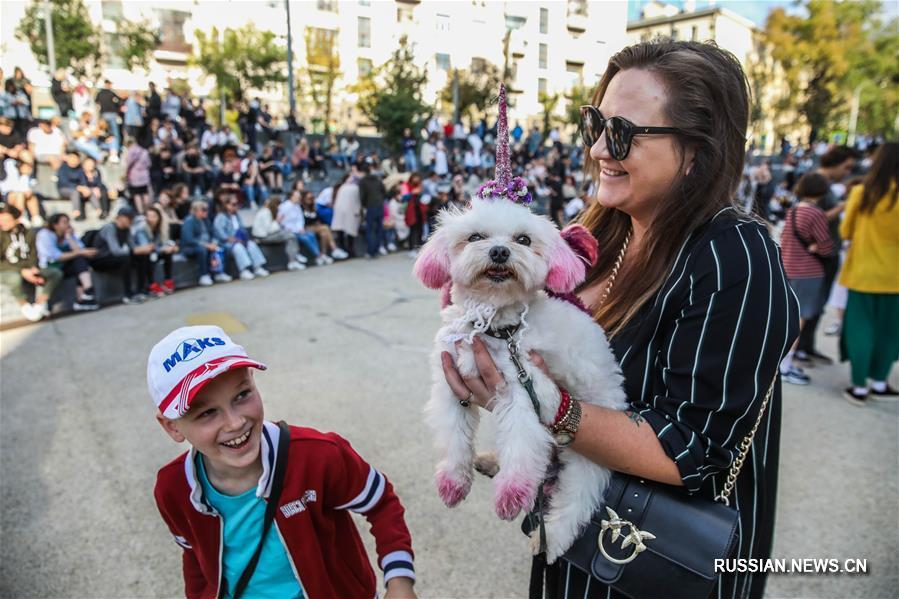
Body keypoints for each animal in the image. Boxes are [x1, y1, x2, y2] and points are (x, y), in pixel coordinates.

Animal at [414, 199, 624, 564]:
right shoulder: (452, 385)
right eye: (475, 237)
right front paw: (453, 481)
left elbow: (522, 444)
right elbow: (454, 436)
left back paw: (550, 539)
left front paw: (512, 493)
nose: (499, 251)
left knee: (577, 498)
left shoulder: (525, 390)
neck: (491, 324)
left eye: (523, 239)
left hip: (590, 453)